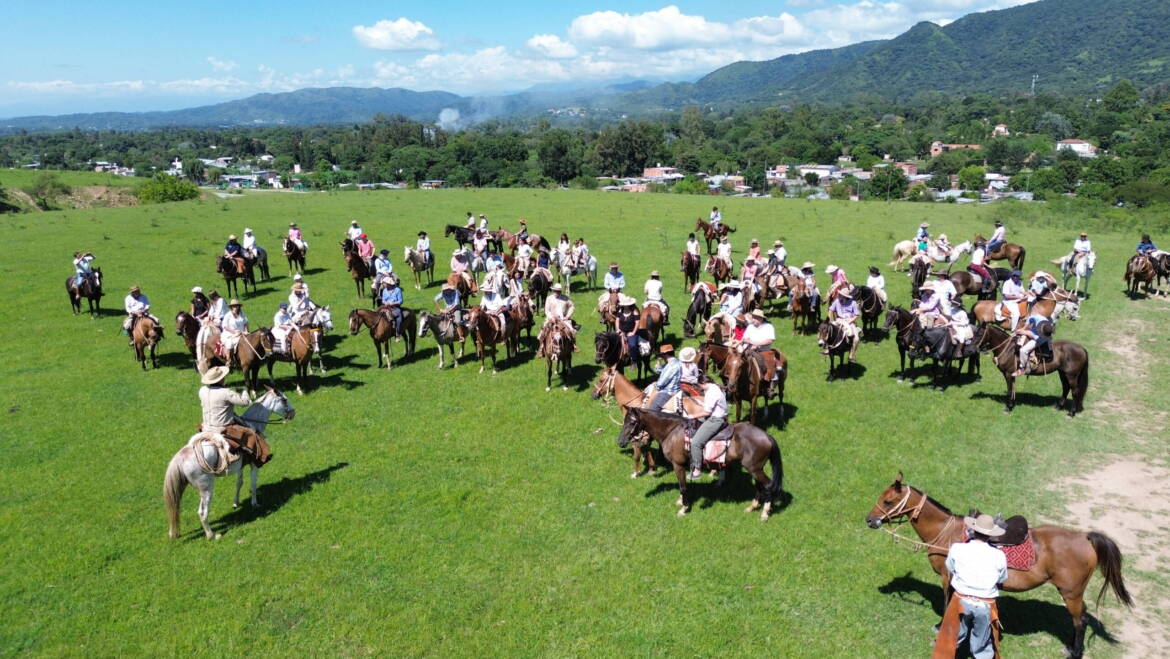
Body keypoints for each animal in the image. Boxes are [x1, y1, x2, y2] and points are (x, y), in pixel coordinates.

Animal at [162, 388, 294, 538]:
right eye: (284, 399)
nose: (293, 412)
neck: (254, 425)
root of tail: (181, 457)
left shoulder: (240, 466)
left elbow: (239, 483)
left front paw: (236, 503)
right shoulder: (254, 464)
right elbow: (253, 484)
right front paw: (255, 504)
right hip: (206, 489)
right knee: (202, 512)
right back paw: (212, 535)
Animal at [613, 407, 786, 522]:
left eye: (632, 422)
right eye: (625, 420)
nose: (620, 442)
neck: (671, 431)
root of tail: (767, 436)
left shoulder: (678, 465)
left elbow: (683, 486)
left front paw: (683, 508)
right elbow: (681, 485)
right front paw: (681, 501)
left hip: (755, 469)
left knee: (768, 485)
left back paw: (764, 513)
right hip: (754, 469)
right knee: (760, 486)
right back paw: (752, 507)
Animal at [865, 475, 1127, 659]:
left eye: (888, 500)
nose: (870, 520)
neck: (946, 533)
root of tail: (1085, 537)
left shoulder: (948, 577)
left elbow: (948, 603)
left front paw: (940, 628)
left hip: (1071, 592)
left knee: (1080, 621)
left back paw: (1075, 652)